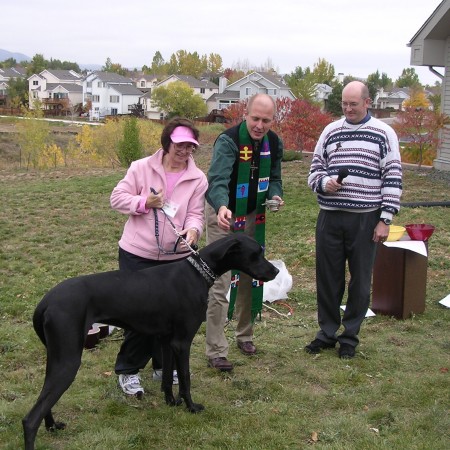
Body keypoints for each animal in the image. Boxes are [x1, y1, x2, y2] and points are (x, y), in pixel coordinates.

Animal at [22, 234, 280, 448]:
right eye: (256, 253)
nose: (275, 272)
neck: (198, 272)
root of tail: (45, 302)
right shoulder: (182, 342)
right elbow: (185, 379)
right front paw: (191, 407)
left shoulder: (166, 341)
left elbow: (166, 377)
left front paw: (171, 402)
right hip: (68, 361)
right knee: (30, 419)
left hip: (56, 358)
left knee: (44, 399)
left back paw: (53, 426)